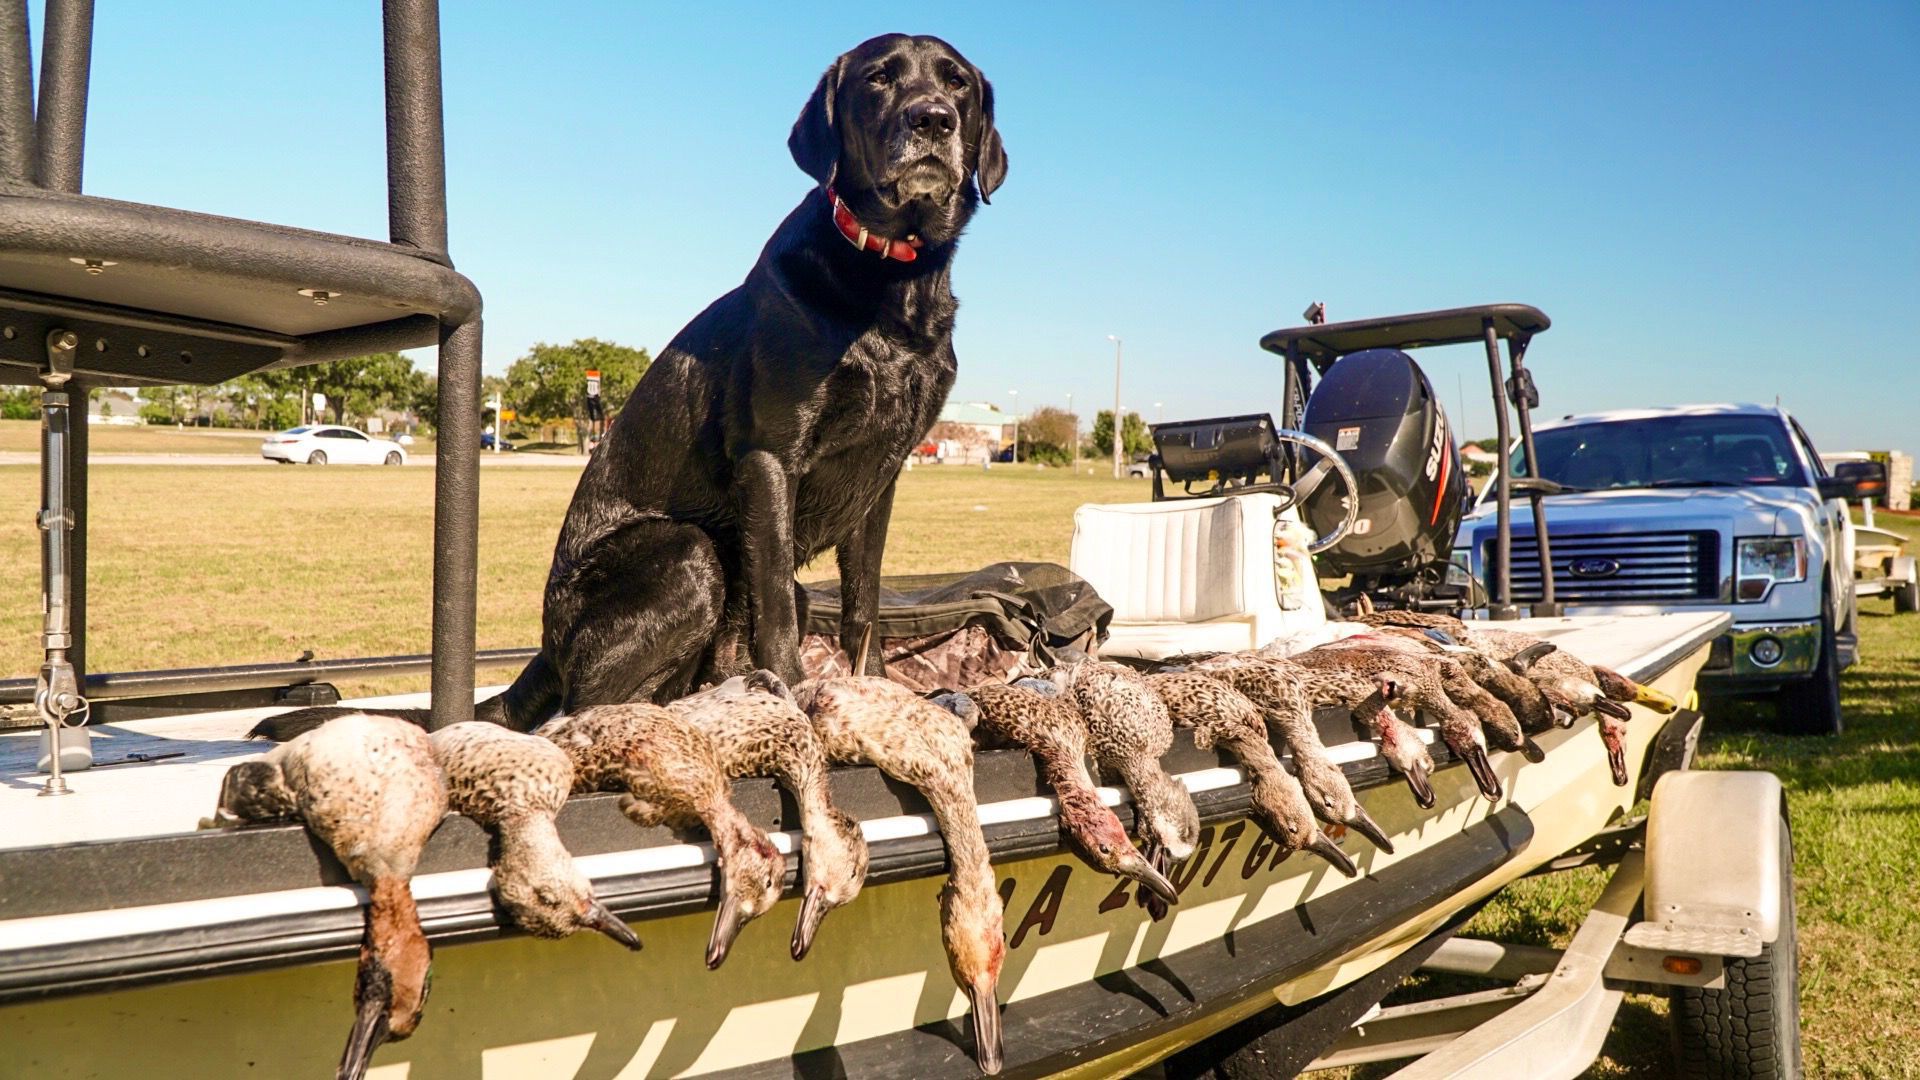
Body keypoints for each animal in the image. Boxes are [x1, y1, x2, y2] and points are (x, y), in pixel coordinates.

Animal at [259, 35, 1006, 737]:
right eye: (879, 79)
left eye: (957, 84)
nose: (933, 119)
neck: (890, 283)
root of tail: (548, 651)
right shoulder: (771, 455)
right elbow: (775, 608)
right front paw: (802, 697)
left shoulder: (881, 475)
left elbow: (864, 602)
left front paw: (881, 691)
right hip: (686, 549)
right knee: (584, 709)